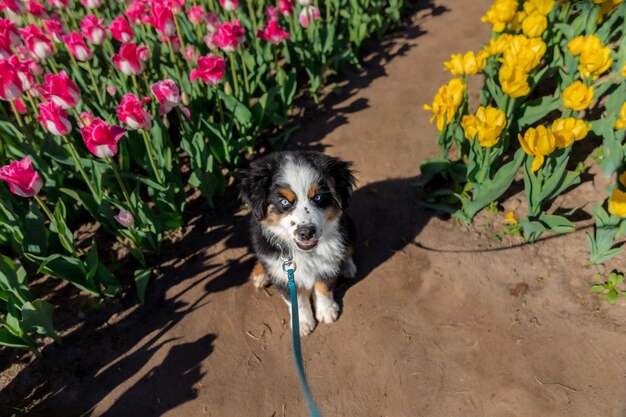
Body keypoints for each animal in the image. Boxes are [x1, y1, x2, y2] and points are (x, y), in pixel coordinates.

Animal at [239, 150, 356, 334]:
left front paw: (327, 312)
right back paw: (259, 274)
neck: (305, 252)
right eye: (284, 202)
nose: (306, 233)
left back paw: (347, 267)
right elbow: (297, 301)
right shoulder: (284, 275)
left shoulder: (328, 264)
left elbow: (324, 287)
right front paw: (302, 323)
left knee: (349, 248)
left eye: (318, 197)